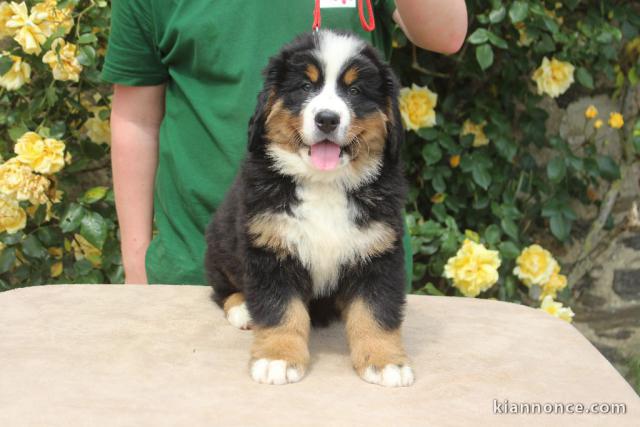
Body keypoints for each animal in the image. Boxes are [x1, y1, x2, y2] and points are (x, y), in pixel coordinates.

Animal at [206, 30, 416, 390]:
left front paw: (384, 361)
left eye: (354, 91)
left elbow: (375, 311)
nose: (327, 119)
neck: (324, 183)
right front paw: (277, 357)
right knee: (222, 288)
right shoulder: (270, 250)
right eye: (306, 86)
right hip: (221, 245)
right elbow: (280, 310)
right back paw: (242, 309)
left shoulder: (377, 252)